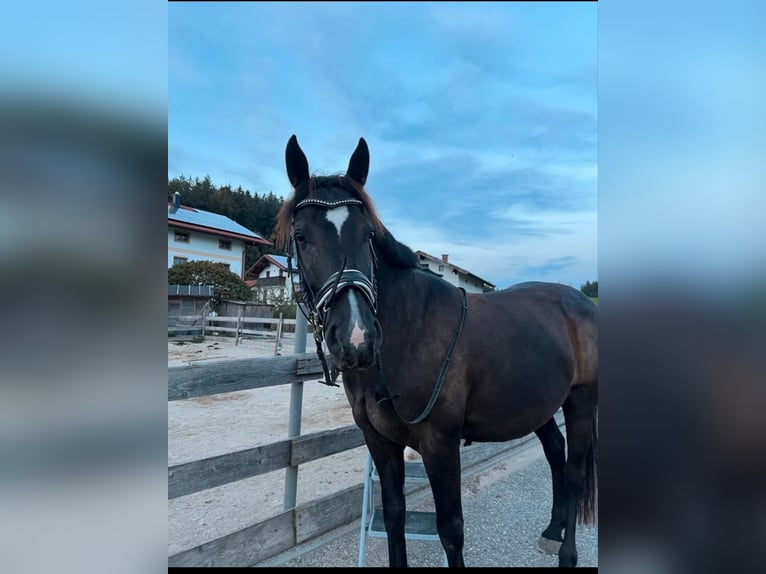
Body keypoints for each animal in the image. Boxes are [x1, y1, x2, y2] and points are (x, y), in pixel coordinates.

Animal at [274, 135, 598, 568]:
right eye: (302, 236)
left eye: (368, 235)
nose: (357, 339)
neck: (409, 330)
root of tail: (582, 304)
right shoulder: (381, 443)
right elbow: (394, 517)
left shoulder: (440, 445)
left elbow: (451, 531)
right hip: (538, 405)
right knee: (555, 452)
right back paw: (551, 530)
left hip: (581, 401)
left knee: (576, 472)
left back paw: (567, 553)